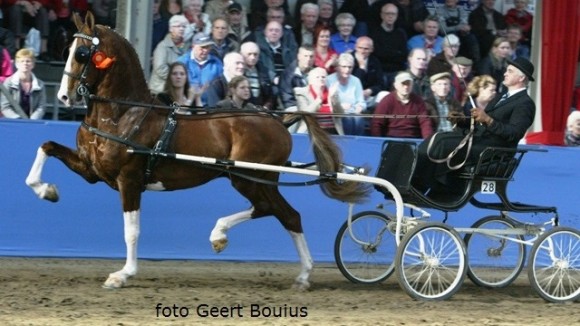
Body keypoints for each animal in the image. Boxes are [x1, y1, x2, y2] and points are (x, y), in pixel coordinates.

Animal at [24, 11, 370, 290]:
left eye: (83, 53)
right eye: (68, 50)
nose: (64, 96)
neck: (123, 115)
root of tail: (278, 120)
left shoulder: (129, 180)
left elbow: (131, 231)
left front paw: (123, 275)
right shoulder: (92, 169)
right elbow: (45, 147)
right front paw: (46, 190)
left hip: (249, 177)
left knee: (280, 212)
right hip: (253, 179)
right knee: (279, 213)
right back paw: (285, 267)